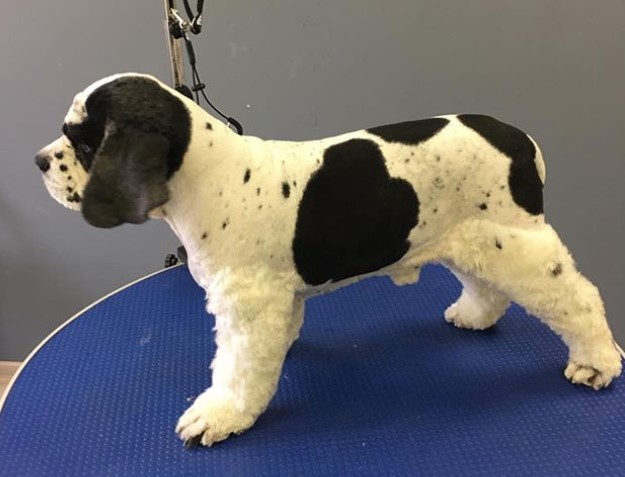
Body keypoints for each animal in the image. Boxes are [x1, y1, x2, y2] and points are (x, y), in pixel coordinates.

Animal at [36, 73, 620, 446]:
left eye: (81, 142)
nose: (40, 160)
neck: (208, 177)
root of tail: (522, 139)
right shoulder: (274, 298)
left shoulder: (245, 305)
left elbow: (236, 371)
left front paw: (219, 415)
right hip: (471, 238)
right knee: (488, 287)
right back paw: (474, 316)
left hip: (517, 242)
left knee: (578, 299)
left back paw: (597, 363)